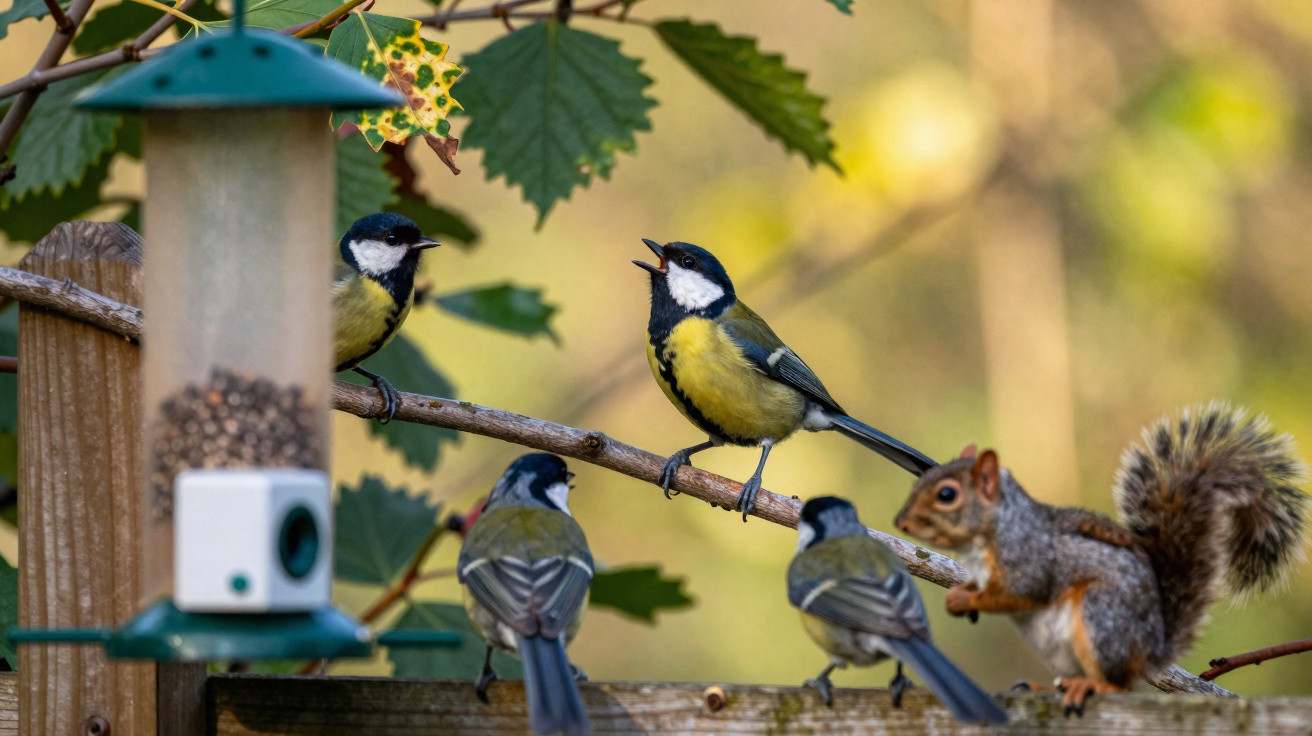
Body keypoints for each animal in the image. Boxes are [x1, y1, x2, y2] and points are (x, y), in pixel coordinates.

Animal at [893, 403, 1309, 715]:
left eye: (947, 495)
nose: (901, 521)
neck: (991, 532)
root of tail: (1150, 649)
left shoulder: (1030, 561)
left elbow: (1021, 593)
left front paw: (964, 599)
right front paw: (958, 596)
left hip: (1100, 618)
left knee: (1118, 686)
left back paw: (1090, 687)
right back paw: (1050, 687)